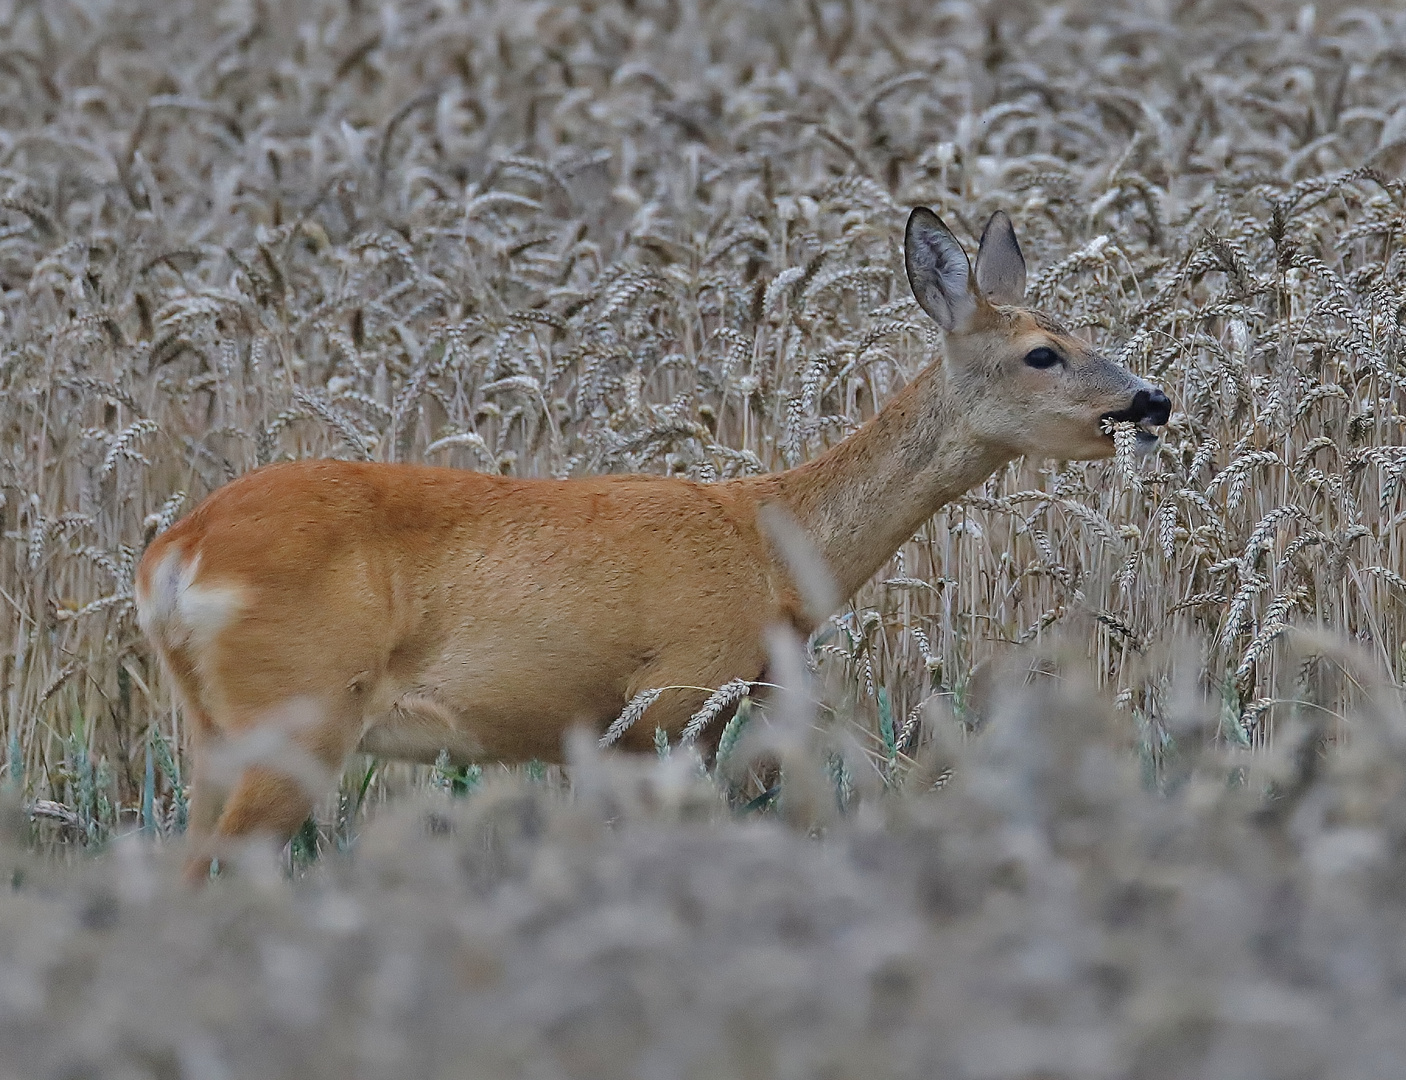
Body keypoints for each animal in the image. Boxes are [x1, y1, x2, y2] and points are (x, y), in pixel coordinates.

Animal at [134, 208, 1164, 877]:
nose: (1150, 399)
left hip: (211, 728)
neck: (767, 545)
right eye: (1042, 353)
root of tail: (173, 554)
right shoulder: (671, 698)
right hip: (296, 710)